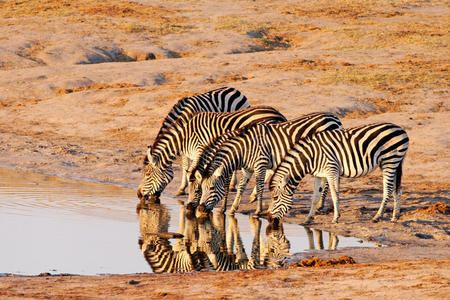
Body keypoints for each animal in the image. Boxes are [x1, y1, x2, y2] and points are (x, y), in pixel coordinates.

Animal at [137, 106, 286, 209]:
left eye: (147, 174)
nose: (138, 194)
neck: (185, 136)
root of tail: (278, 113)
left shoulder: (201, 150)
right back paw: (254, 195)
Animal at [191, 112, 344, 216]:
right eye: (201, 188)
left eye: (209, 189)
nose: (199, 209)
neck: (244, 149)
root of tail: (334, 117)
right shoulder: (247, 168)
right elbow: (241, 187)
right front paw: (233, 208)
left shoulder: (260, 164)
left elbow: (259, 187)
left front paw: (257, 210)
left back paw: (320, 205)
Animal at [268, 122, 410, 225]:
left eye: (275, 198)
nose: (269, 219)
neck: (310, 157)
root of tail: (401, 129)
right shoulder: (319, 175)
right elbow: (315, 197)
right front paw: (308, 219)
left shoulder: (332, 170)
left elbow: (334, 194)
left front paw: (336, 218)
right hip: (393, 163)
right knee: (398, 189)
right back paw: (395, 216)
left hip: (390, 161)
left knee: (389, 189)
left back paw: (377, 216)